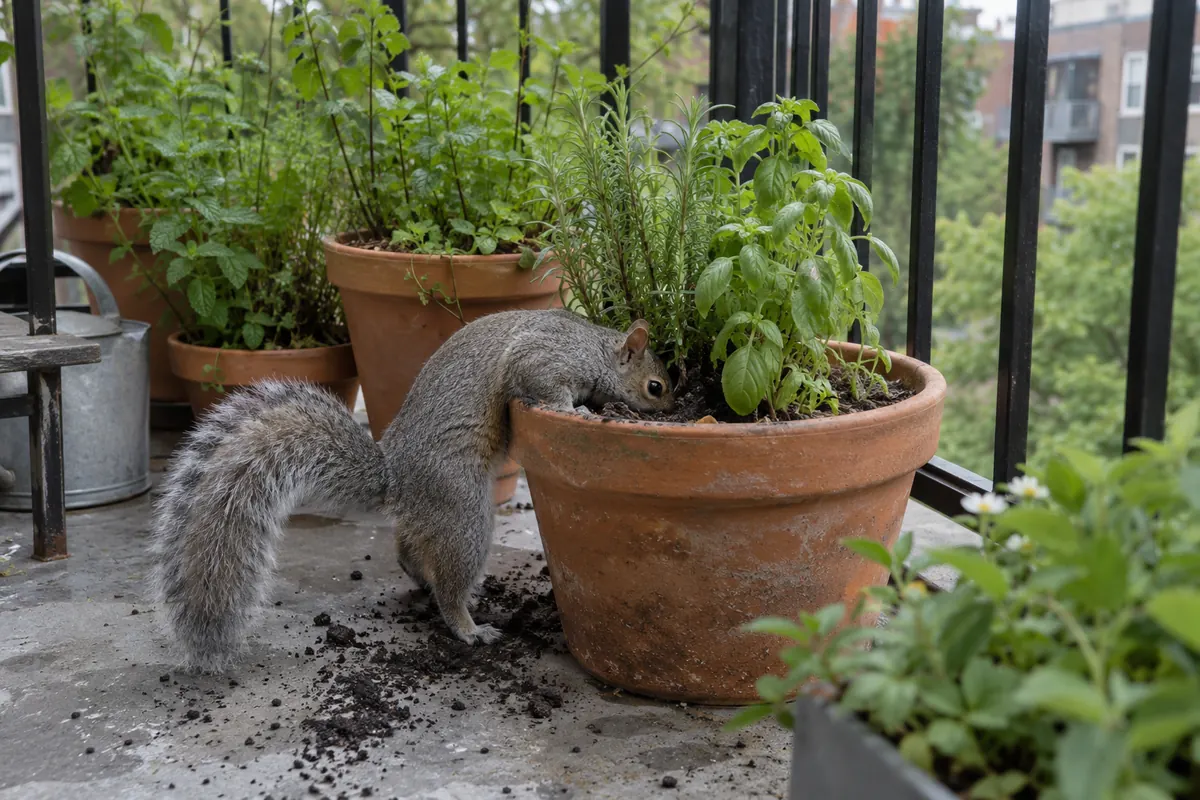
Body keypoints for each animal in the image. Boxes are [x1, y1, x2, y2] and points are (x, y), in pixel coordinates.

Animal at [150, 309, 675, 673]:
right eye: (656, 386)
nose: (670, 410)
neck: (593, 344)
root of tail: (395, 479)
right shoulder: (544, 358)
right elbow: (544, 387)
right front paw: (577, 411)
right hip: (463, 509)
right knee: (449, 581)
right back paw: (468, 627)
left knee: (410, 552)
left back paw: (431, 583)